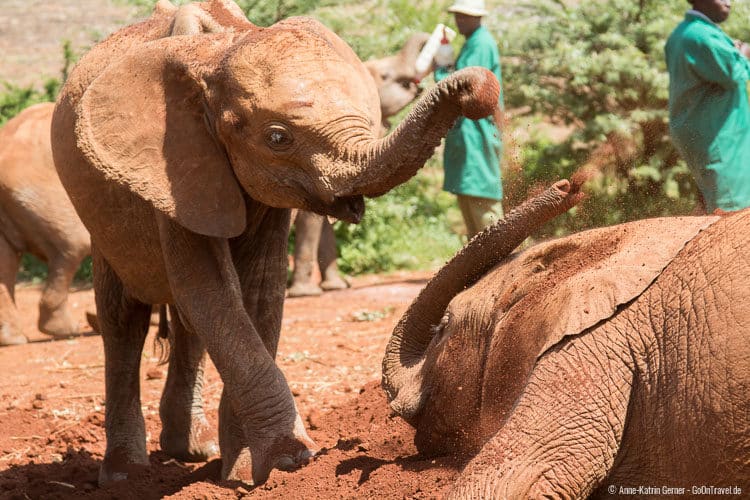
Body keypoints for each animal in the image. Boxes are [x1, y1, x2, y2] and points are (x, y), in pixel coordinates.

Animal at [51, 0, 500, 486]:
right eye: (278, 138)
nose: (477, 87)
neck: (216, 54)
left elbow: (258, 292)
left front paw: (249, 470)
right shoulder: (172, 165)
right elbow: (210, 291)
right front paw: (288, 463)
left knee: (187, 325)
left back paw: (192, 450)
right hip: (98, 212)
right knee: (123, 318)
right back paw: (124, 474)